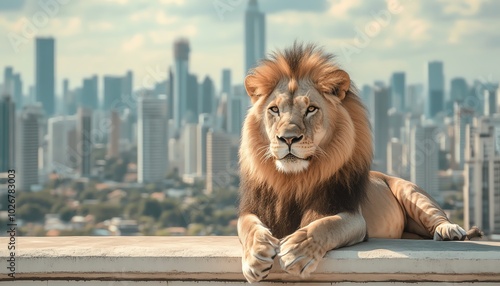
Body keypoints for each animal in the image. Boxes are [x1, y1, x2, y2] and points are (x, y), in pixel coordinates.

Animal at [238, 43, 480, 284]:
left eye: (311, 109)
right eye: (274, 109)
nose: (288, 138)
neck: (293, 179)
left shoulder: (353, 216)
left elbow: (324, 225)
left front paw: (298, 249)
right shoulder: (252, 209)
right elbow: (248, 227)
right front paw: (256, 255)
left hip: (411, 192)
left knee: (437, 216)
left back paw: (450, 230)